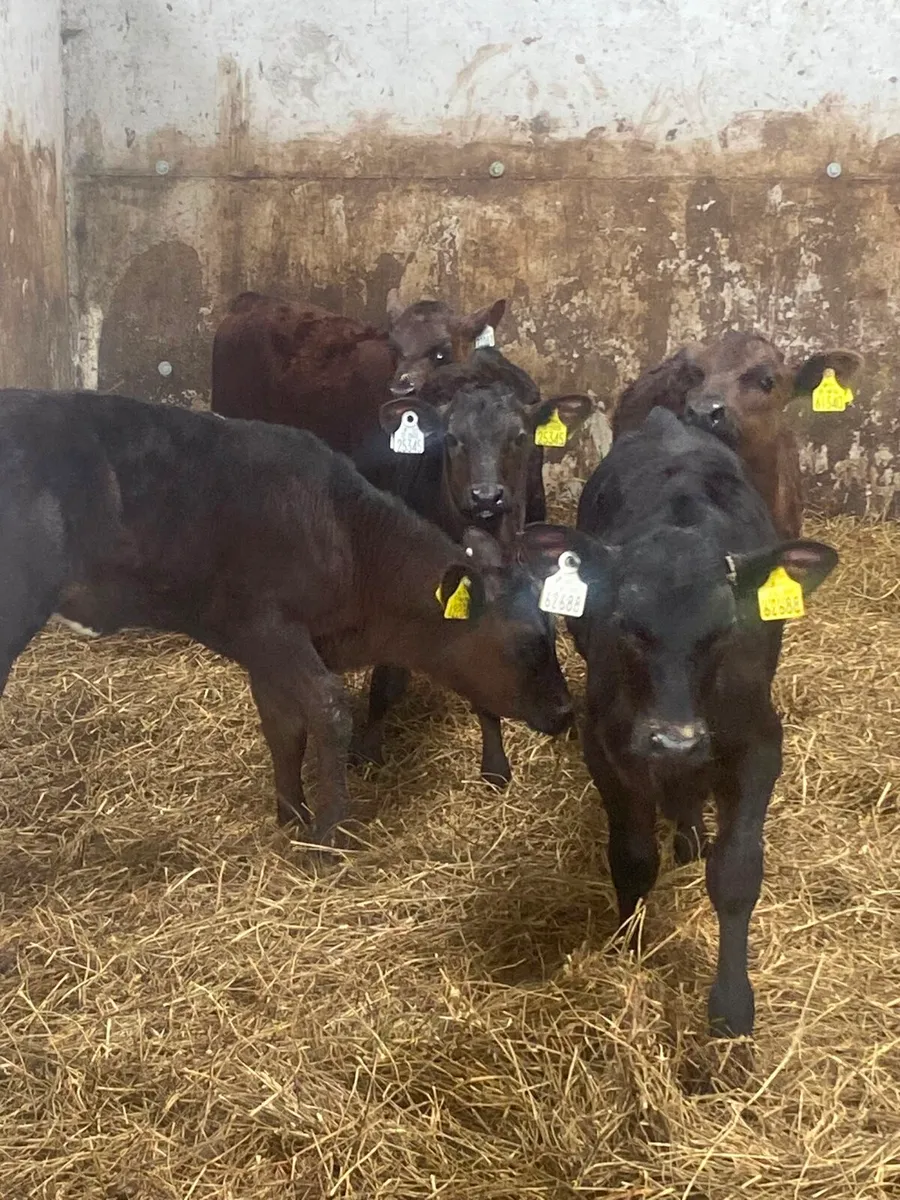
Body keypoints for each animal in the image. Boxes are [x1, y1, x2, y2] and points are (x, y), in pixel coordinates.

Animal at [0, 389, 578, 843]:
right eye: (525, 642)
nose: (567, 711)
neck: (350, 542)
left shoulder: (266, 647)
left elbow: (283, 725)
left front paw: (291, 814)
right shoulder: (270, 628)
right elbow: (327, 709)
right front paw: (328, 832)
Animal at [518, 406, 838, 1037]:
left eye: (725, 629)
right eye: (624, 624)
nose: (672, 740)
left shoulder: (760, 745)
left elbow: (736, 873)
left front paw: (732, 1005)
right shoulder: (607, 745)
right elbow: (633, 858)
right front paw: (628, 954)